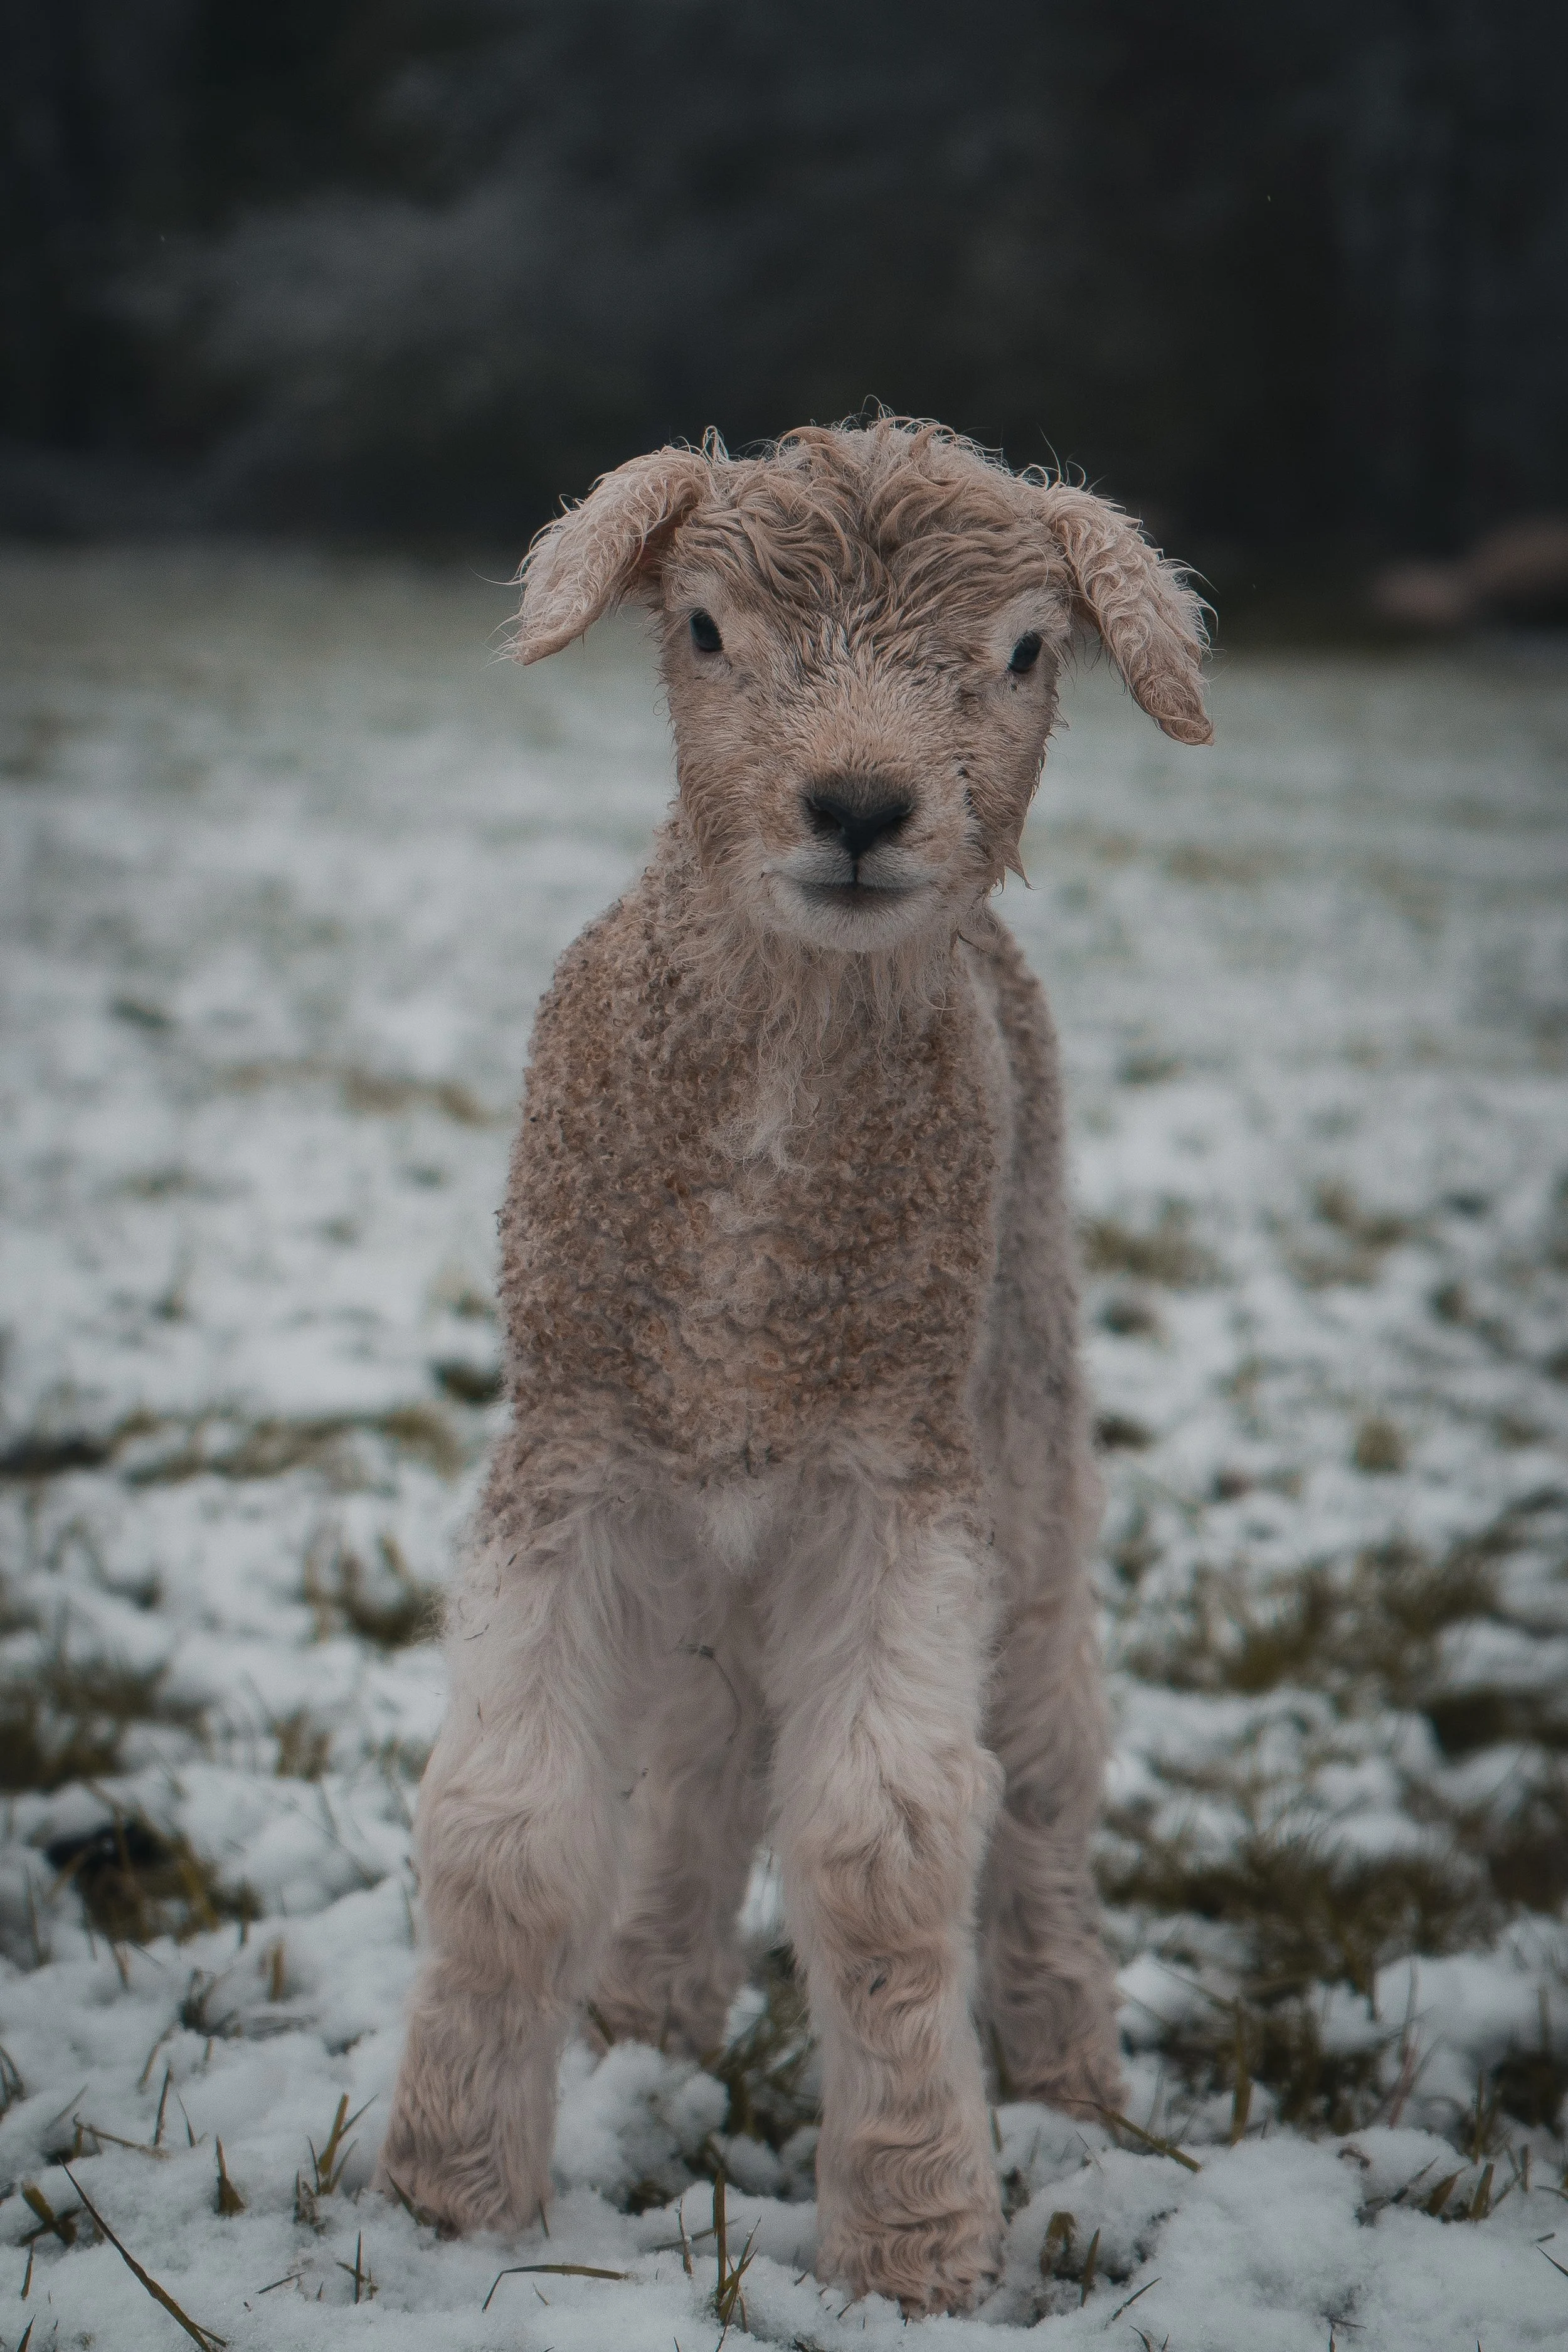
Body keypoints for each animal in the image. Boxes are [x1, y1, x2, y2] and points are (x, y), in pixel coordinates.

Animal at [377, 417, 1211, 2316]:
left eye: (1025, 650)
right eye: (701, 628)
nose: (854, 807)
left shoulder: (896, 1477)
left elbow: (883, 1851)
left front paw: (914, 2234)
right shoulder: (575, 1449)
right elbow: (506, 1828)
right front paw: (449, 2195)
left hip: (1027, 1426)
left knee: (1045, 1765)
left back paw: (1070, 2063)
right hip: (712, 1537)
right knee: (699, 1757)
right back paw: (644, 2019)